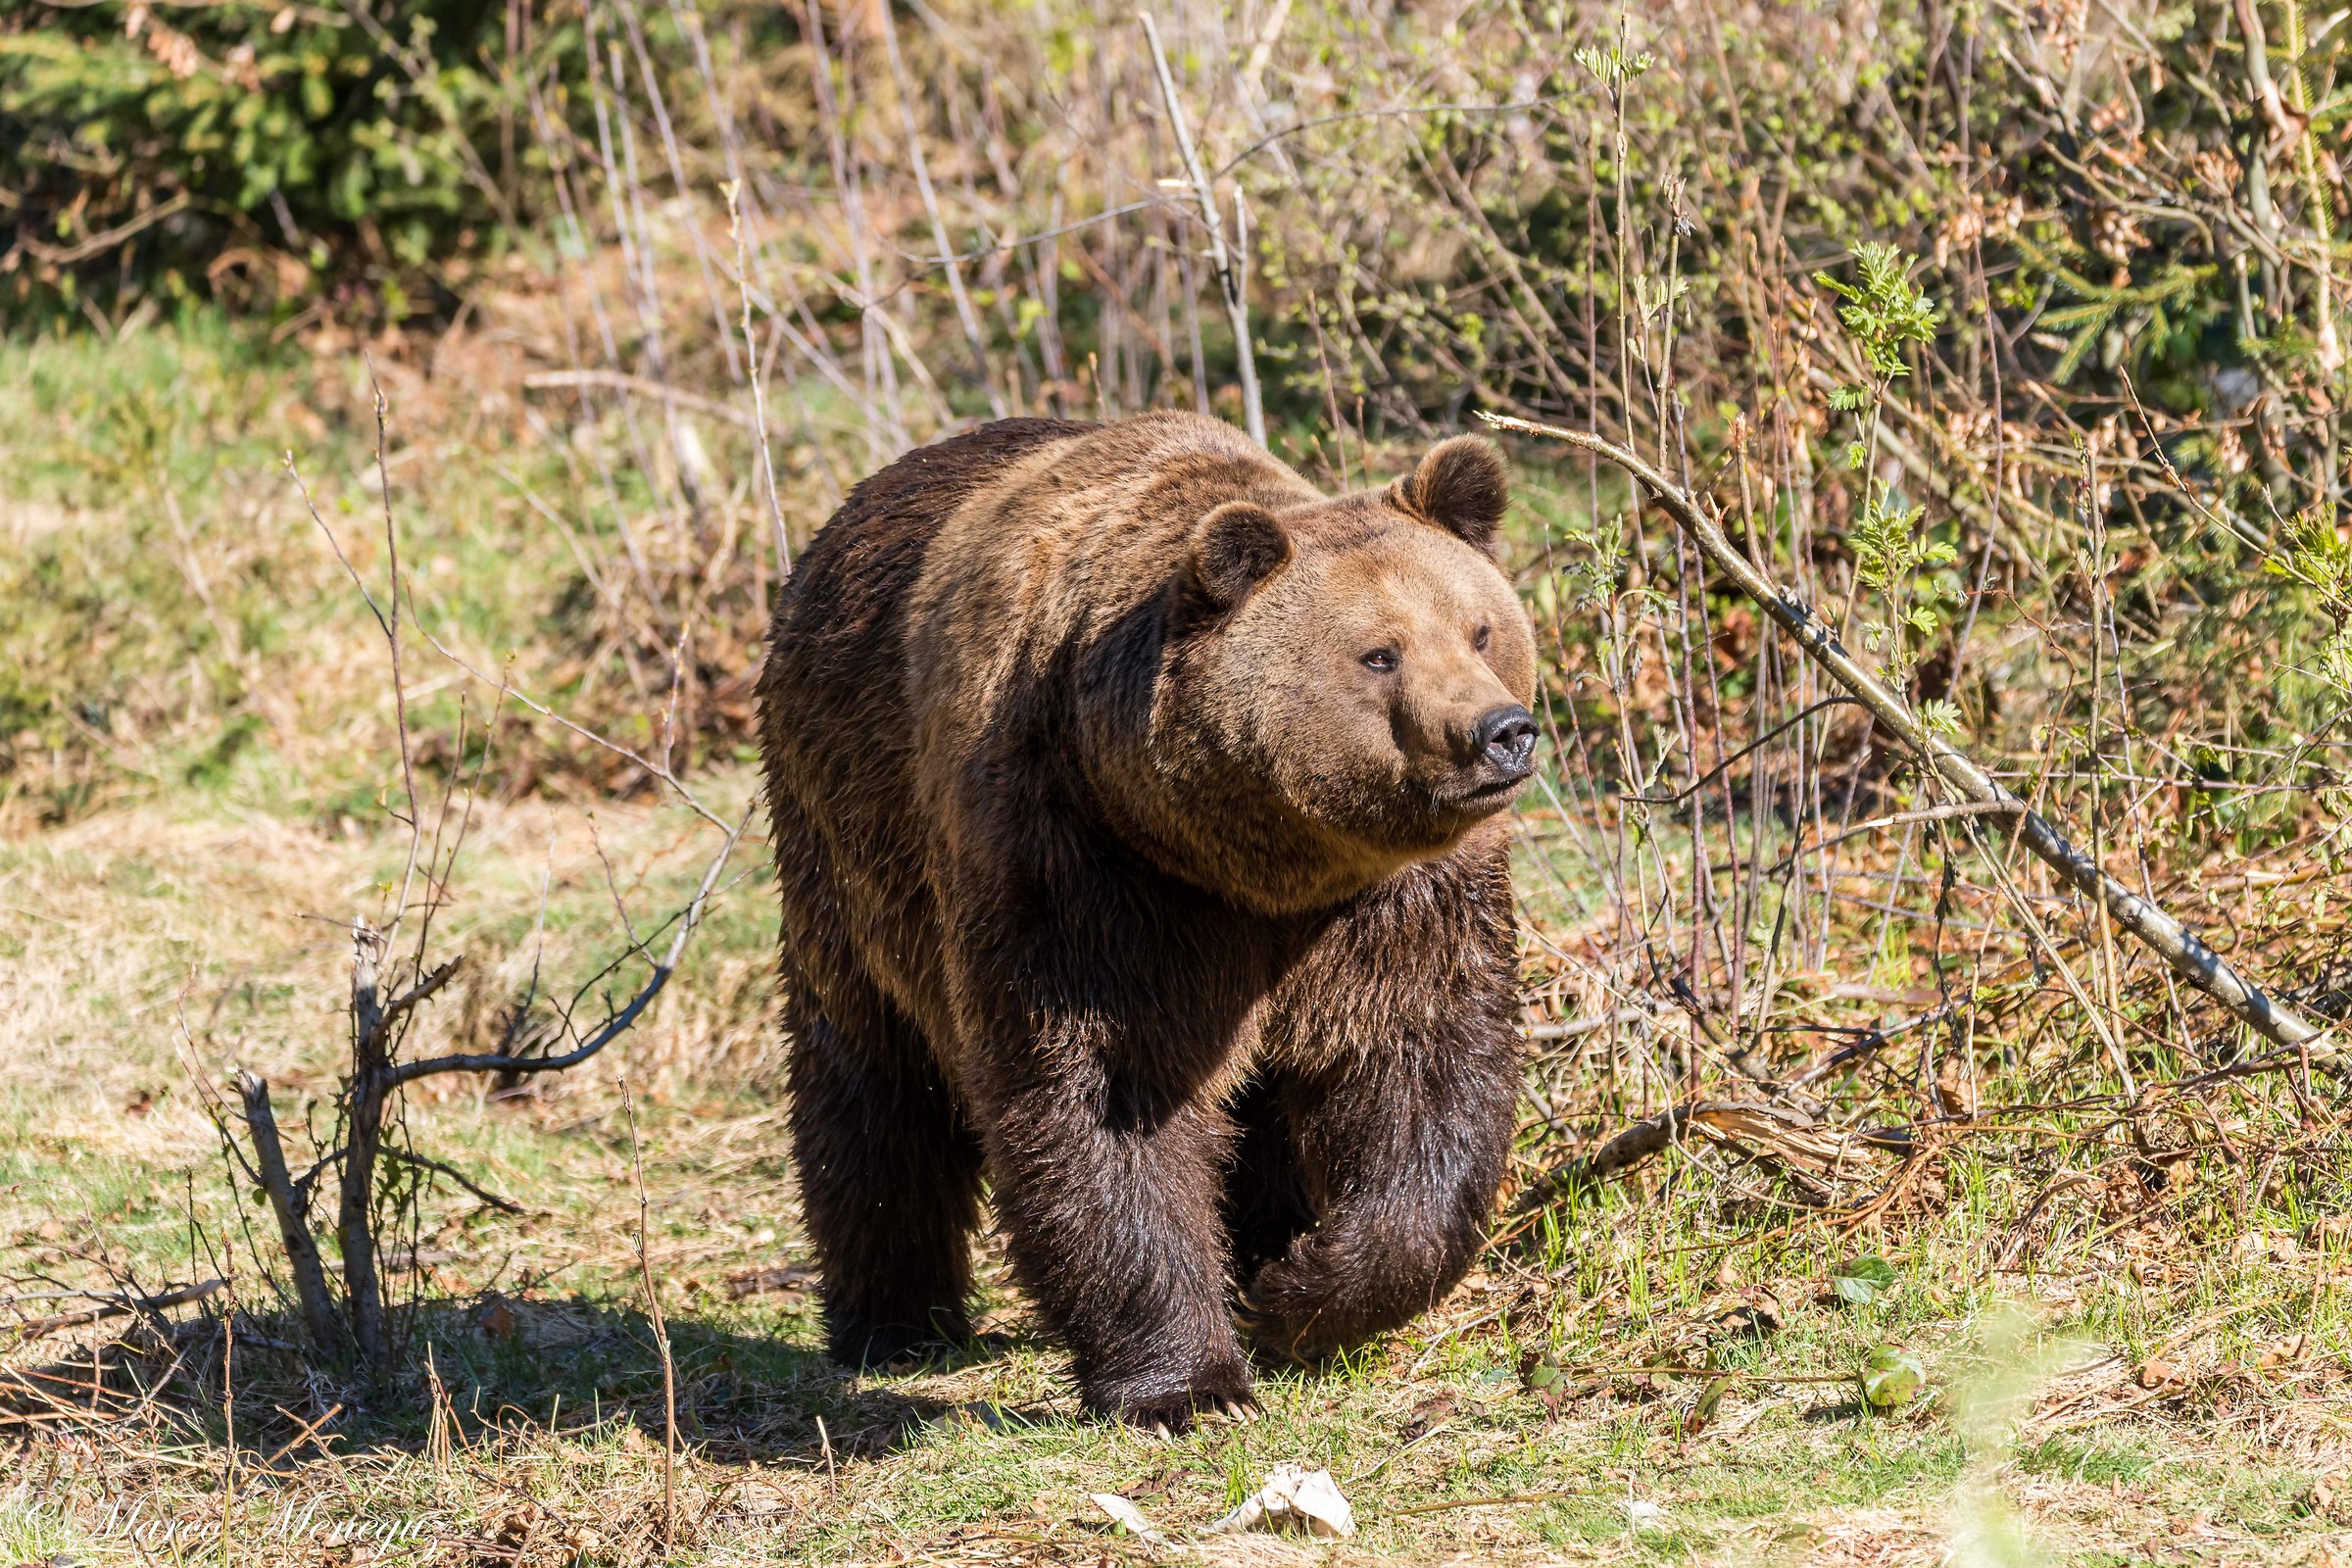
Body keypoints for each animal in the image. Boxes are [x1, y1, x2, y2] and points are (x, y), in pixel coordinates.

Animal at [757, 411, 1538, 1431]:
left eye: (1481, 628)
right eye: (1380, 653)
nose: (1501, 732)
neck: (1256, 862)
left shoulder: (1393, 901)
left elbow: (1421, 1067)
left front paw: (1298, 1292)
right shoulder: (1083, 869)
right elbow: (1110, 1094)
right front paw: (1190, 1386)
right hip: (847, 847)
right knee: (871, 1084)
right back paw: (895, 1321)